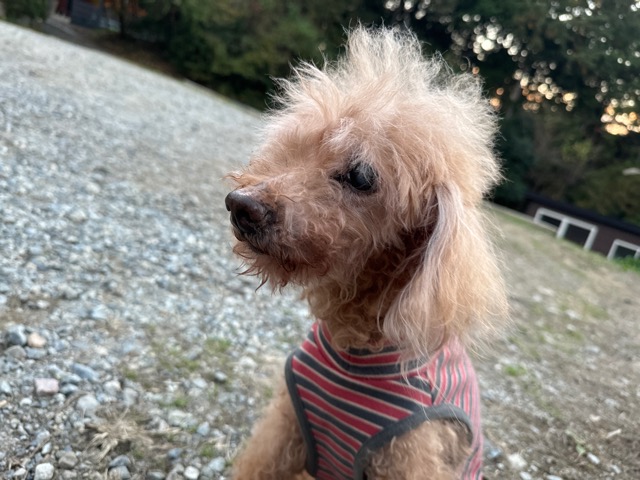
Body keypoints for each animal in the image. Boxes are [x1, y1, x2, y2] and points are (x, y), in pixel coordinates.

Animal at [225, 26, 508, 480]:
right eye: (293, 147)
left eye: (360, 176)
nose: (241, 205)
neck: (353, 341)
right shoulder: (286, 428)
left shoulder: (412, 455)